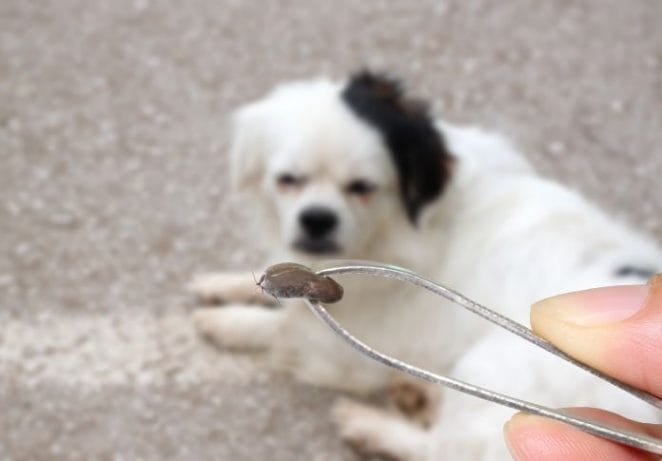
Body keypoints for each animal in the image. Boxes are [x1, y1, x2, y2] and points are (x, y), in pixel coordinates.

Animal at [189, 72, 660, 460]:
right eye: (287, 180)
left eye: (363, 188)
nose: (317, 219)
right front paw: (219, 284)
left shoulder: (337, 351)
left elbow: (277, 327)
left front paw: (223, 323)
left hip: (486, 363)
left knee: (439, 450)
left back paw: (371, 425)